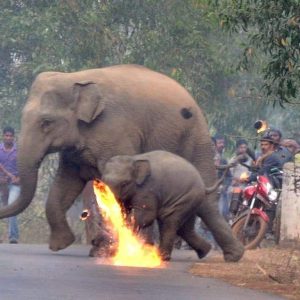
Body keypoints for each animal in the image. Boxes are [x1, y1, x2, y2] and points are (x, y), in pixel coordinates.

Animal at [0, 64, 244, 262]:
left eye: (46, 122)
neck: (76, 77)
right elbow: (66, 184)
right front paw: (62, 244)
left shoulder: (113, 130)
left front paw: (107, 250)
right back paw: (207, 251)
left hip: (197, 139)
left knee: (205, 200)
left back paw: (231, 256)